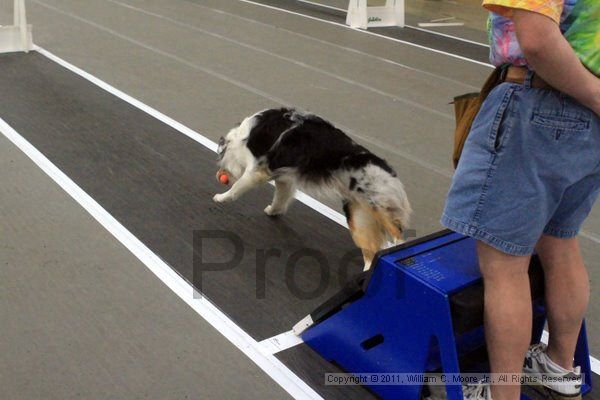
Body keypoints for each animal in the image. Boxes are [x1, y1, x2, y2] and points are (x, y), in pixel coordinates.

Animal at [213, 108, 410, 270]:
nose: (219, 176)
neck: (242, 138)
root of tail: (390, 172)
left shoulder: (257, 170)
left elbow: (237, 187)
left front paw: (221, 197)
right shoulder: (284, 178)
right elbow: (280, 198)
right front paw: (273, 211)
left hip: (378, 207)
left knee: (397, 234)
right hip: (359, 218)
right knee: (371, 251)